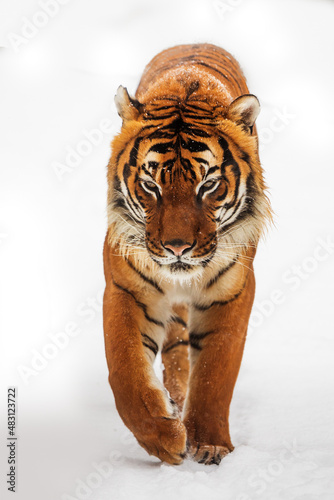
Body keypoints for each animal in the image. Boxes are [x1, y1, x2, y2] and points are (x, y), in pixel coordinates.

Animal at [103, 43, 272, 464]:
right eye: (151, 185)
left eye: (208, 185)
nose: (177, 248)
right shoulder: (127, 289)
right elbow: (125, 372)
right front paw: (164, 439)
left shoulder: (231, 293)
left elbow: (215, 373)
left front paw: (210, 444)